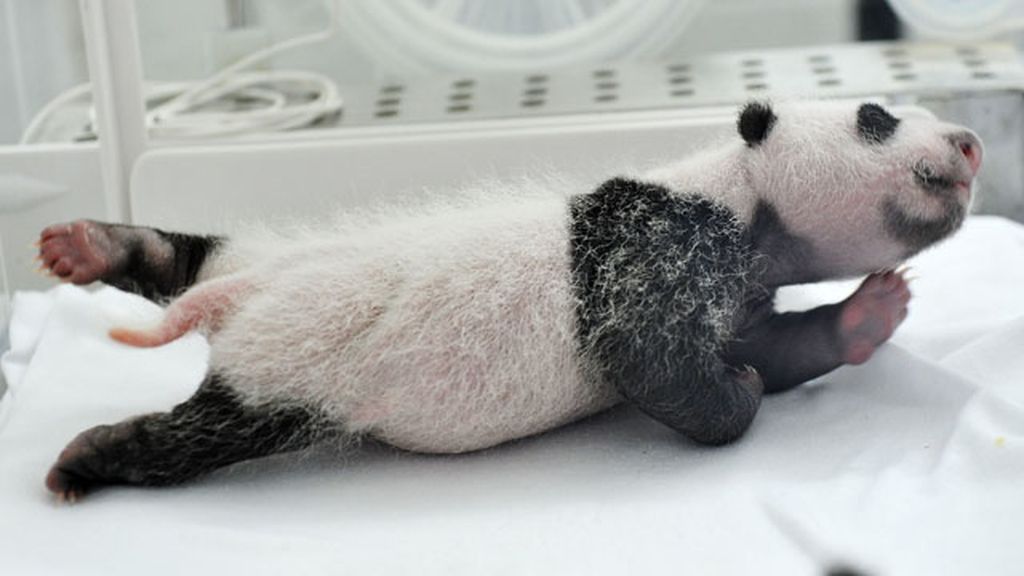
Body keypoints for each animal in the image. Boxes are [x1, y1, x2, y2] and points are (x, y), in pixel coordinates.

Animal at [37, 100, 983, 501]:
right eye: (875, 117)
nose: (972, 142)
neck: (744, 200)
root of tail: (245, 296)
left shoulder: (738, 289)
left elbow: (772, 347)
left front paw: (868, 314)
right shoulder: (656, 242)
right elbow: (645, 356)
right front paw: (735, 398)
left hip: (251, 259)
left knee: (182, 253)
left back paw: (85, 246)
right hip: (287, 371)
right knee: (198, 434)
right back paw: (87, 460)